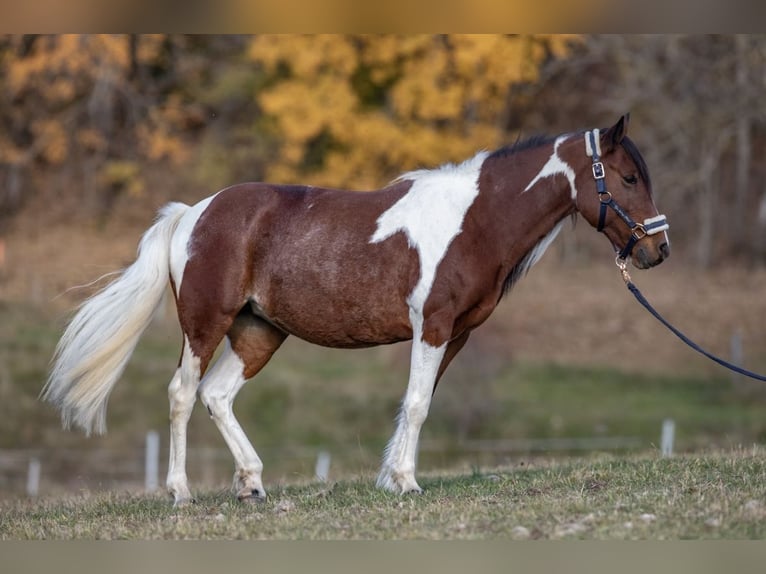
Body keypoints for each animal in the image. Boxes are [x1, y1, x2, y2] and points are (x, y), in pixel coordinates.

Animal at [42, 114, 669, 505]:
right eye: (627, 177)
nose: (656, 250)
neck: (473, 220)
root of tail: (193, 213)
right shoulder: (432, 326)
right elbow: (417, 405)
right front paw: (407, 483)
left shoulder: (455, 335)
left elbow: (418, 403)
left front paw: (392, 478)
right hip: (205, 323)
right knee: (180, 394)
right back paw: (180, 492)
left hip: (258, 332)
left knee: (216, 395)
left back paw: (252, 485)